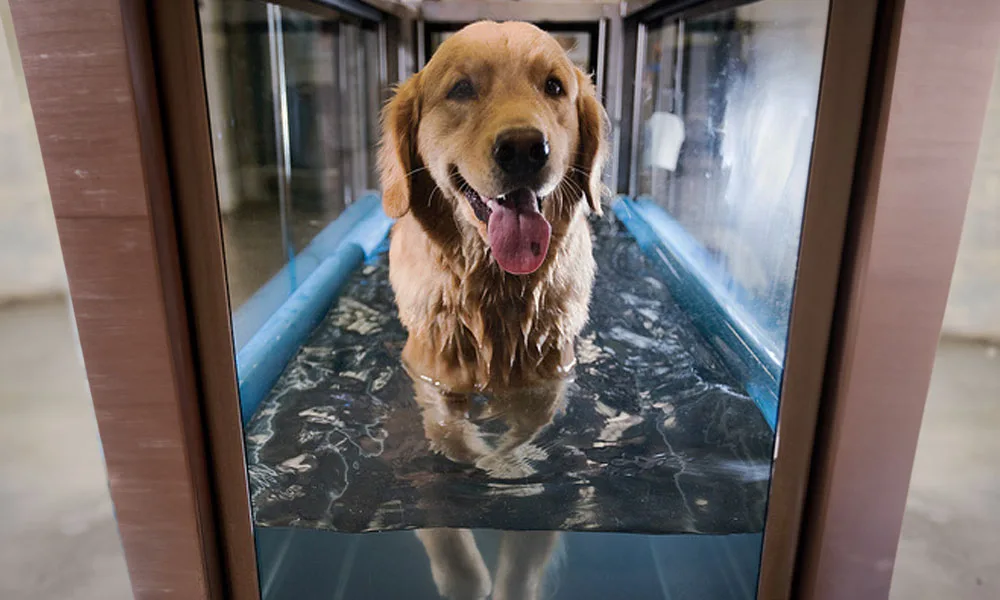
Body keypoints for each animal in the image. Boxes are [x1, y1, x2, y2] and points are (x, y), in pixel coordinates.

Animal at [378, 19, 604, 600]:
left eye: (554, 87)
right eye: (461, 89)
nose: (525, 148)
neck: (495, 292)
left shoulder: (549, 377)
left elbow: (526, 446)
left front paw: (511, 467)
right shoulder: (429, 376)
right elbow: (451, 445)